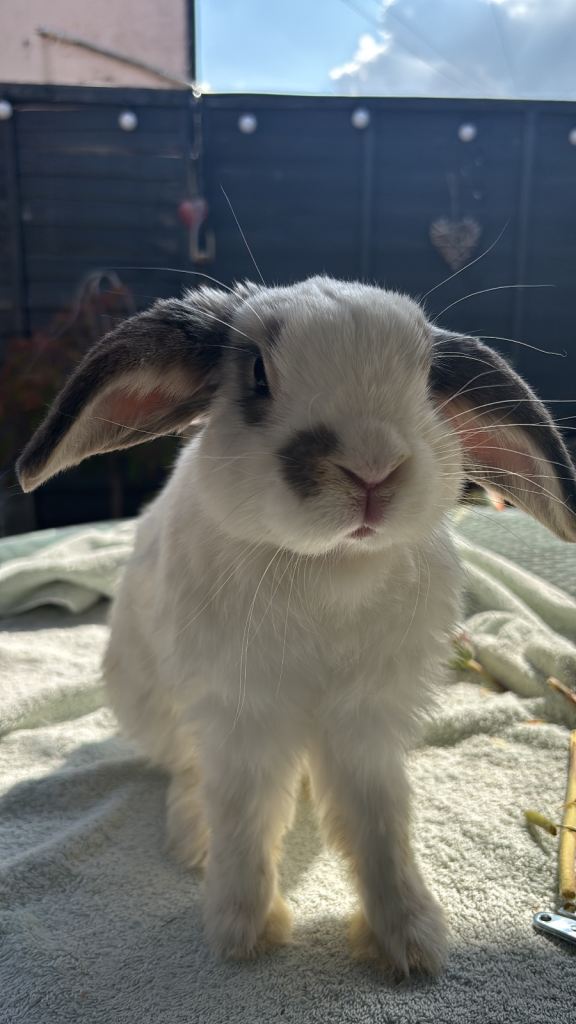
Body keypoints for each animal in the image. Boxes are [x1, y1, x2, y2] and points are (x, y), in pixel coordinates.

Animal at [17, 276, 576, 978]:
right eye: (258, 372)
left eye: (427, 378)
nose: (372, 468)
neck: (326, 565)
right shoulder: (242, 715)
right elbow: (245, 816)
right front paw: (242, 932)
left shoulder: (365, 724)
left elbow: (379, 823)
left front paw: (409, 941)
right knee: (188, 771)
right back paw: (191, 840)